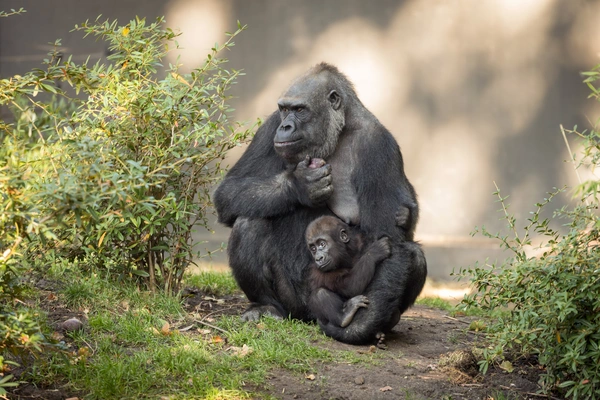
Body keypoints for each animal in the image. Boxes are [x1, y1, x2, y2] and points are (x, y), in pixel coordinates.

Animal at [212, 62, 426, 344]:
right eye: (284, 109)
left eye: (300, 110)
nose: (286, 127)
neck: (341, 129)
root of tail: (309, 319)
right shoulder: (269, 127)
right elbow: (228, 191)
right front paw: (298, 185)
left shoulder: (379, 146)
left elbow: (391, 239)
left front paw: (359, 328)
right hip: (294, 306)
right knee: (249, 221)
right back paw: (265, 306)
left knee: (415, 255)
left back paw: (381, 322)